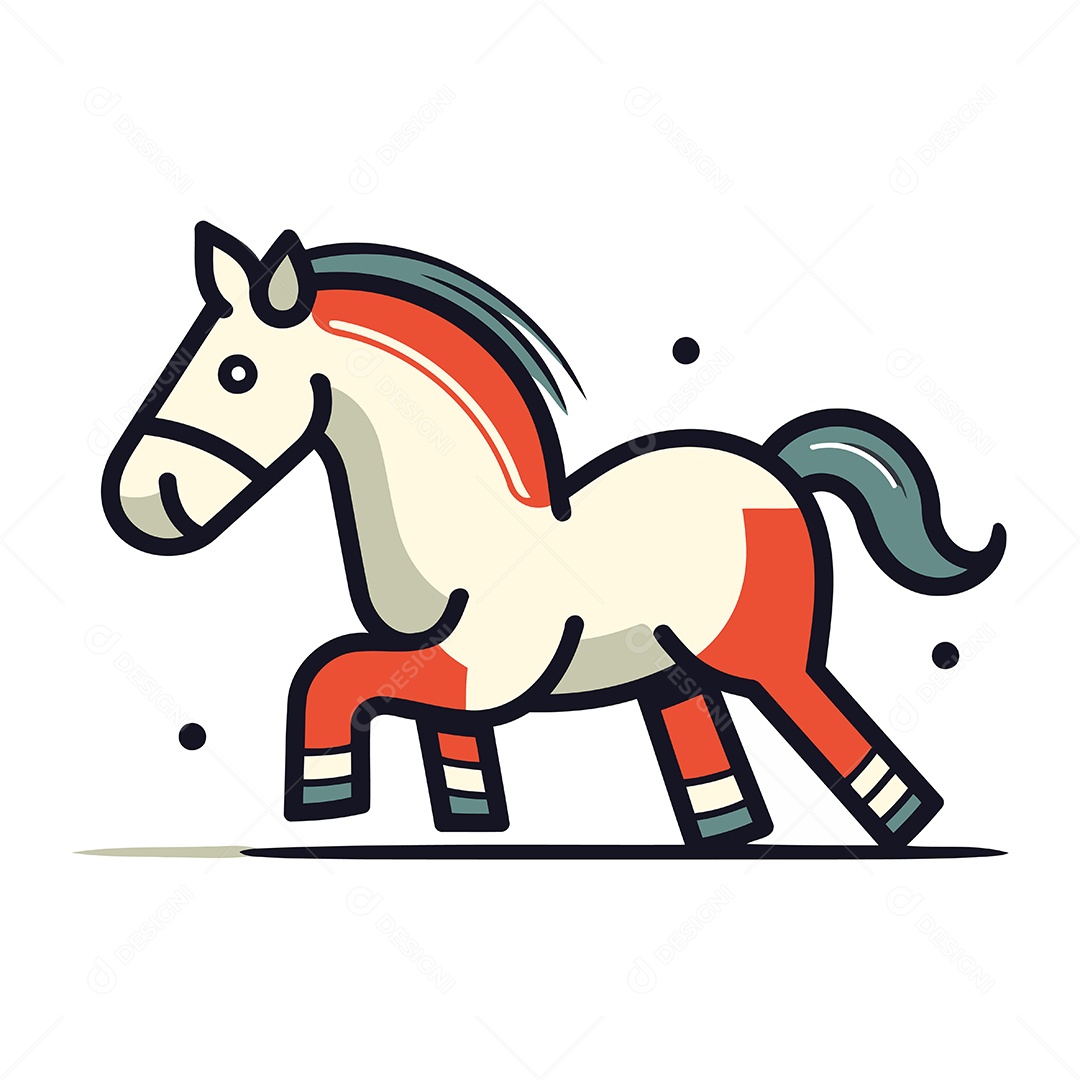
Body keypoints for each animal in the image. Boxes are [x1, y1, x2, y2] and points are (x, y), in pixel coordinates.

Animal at [101, 224, 1005, 847]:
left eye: (237, 373)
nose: (144, 500)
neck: (458, 523)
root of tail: (774, 466)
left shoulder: (486, 664)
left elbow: (331, 672)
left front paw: (326, 792)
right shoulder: (451, 667)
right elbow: (441, 734)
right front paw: (470, 821)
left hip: (764, 654)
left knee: (831, 726)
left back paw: (905, 821)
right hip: (671, 666)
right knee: (699, 737)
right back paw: (727, 833)